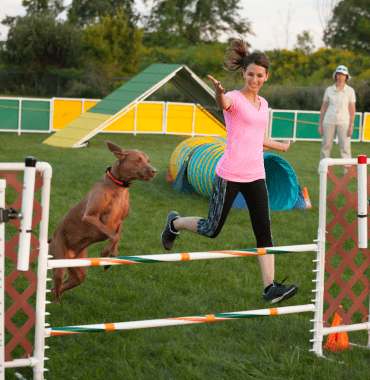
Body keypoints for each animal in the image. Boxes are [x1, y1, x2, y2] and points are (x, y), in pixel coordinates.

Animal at [48, 141, 156, 302]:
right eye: (137, 160)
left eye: (148, 160)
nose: (154, 171)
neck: (119, 186)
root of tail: (52, 238)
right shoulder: (90, 217)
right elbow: (113, 235)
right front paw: (105, 253)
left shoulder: (121, 221)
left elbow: (117, 237)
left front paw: (111, 257)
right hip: (59, 261)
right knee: (56, 287)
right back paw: (56, 305)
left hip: (78, 272)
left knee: (57, 288)